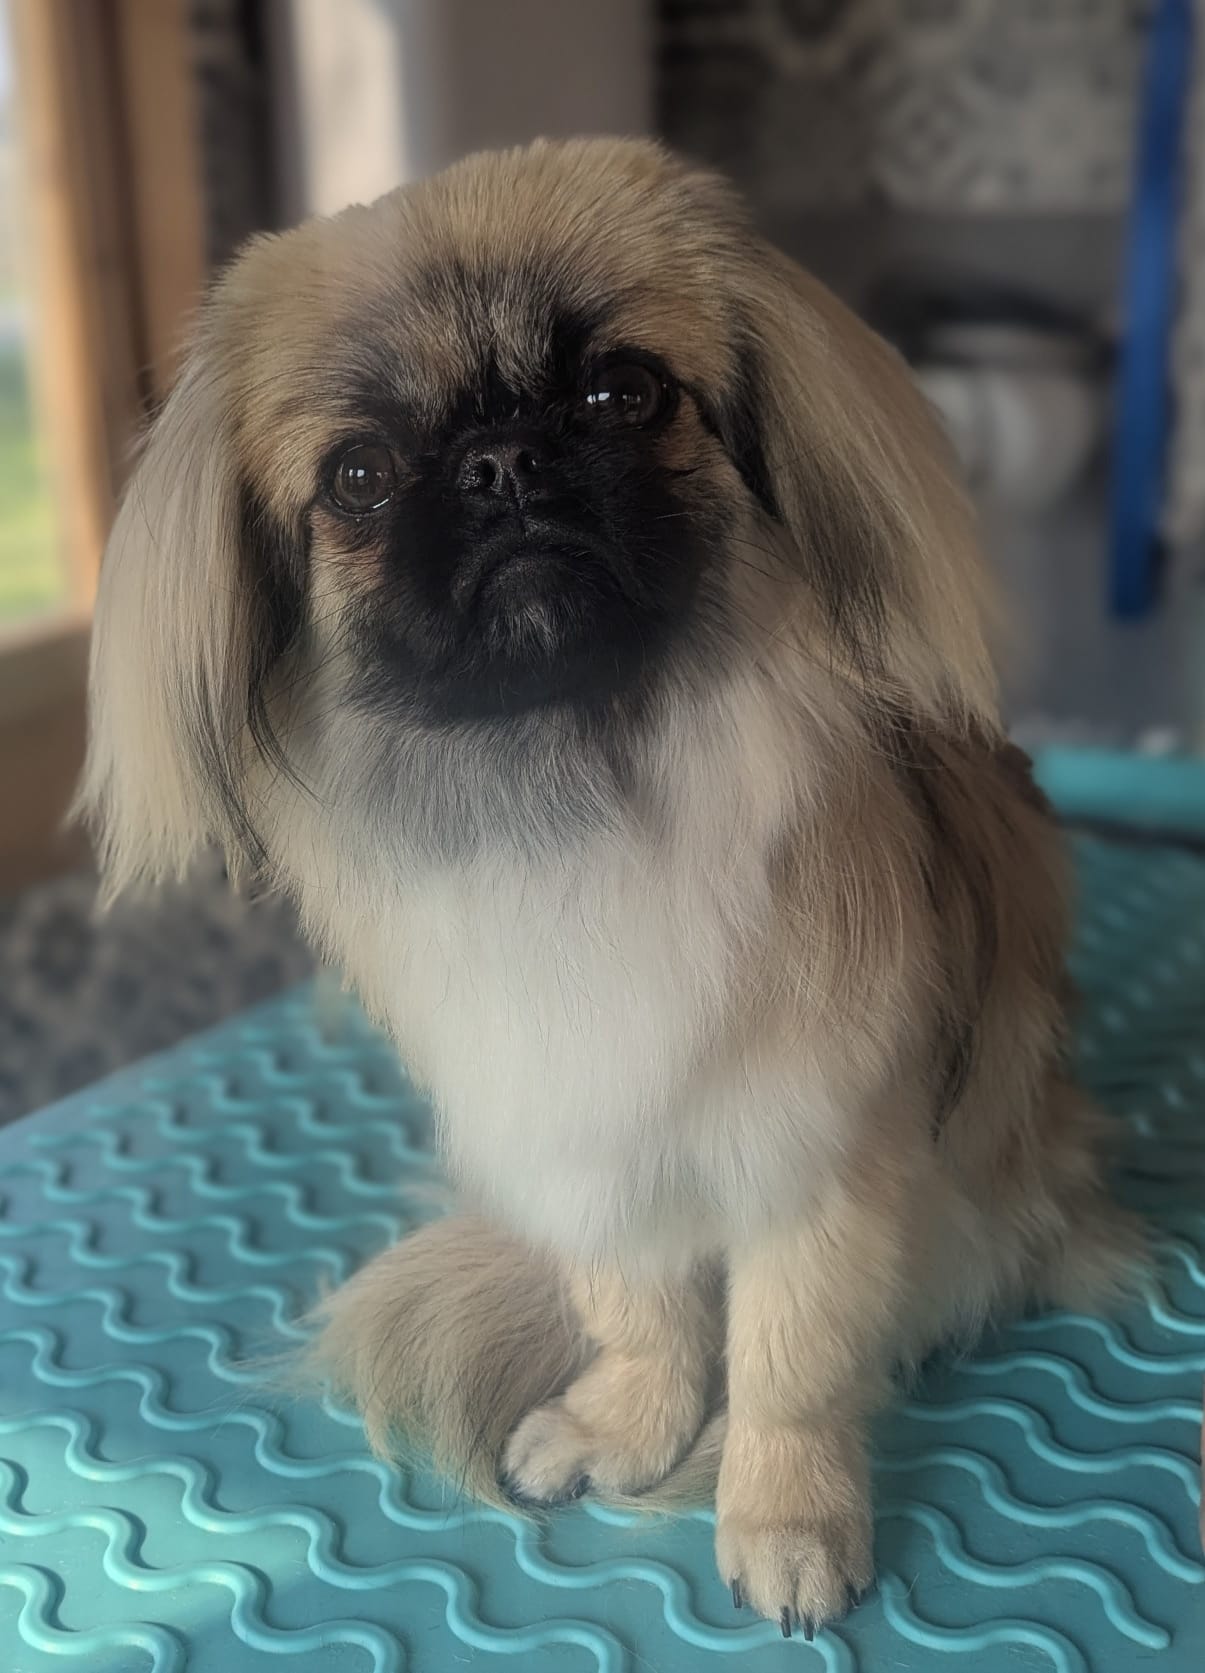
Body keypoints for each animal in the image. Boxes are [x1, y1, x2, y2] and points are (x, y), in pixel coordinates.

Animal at [78, 137, 1137, 1635]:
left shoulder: (809, 1149)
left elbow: (790, 1358)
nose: (503, 461)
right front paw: (627, 1424)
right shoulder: (589, 1123)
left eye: (618, 391)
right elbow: (640, 1308)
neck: (584, 780)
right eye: (358, 473)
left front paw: (784, 1516)